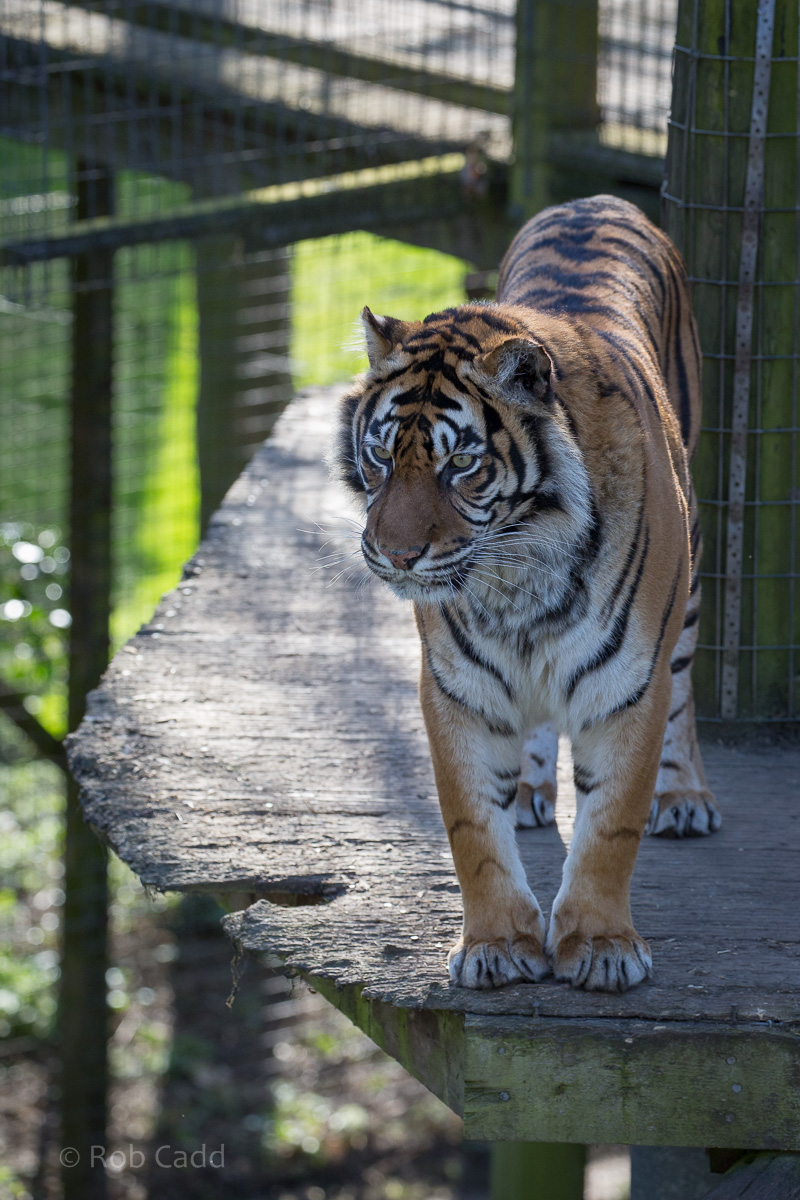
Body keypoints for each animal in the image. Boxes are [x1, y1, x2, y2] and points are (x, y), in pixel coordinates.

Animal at [334, 194, 721, 993]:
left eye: (461, 465)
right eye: (380, 454)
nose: (395, 554)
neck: (518, 573)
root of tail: (595, 199)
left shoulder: (628, 684)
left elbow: (611, 825)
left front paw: (600, 946)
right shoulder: (461, 687)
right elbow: (473, 829)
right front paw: (498, 944)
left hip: (693, 571)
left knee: (685, 687)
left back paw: (683, 797)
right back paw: (533, 792)